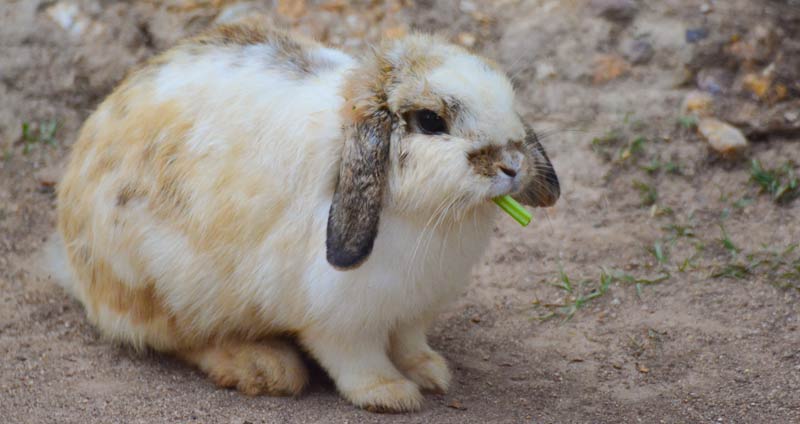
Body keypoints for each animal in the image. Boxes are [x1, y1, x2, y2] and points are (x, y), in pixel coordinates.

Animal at [54, 19, 556, 410]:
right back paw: (264, 367)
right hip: (169, 286)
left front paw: (432, 373)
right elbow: (357, 360)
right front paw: (391, 394)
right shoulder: (341, 318)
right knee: (182, 341)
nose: (513, 166)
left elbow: (410, 342)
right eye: (431, 121)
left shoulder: (413, 309)